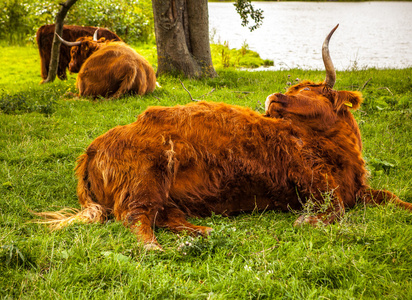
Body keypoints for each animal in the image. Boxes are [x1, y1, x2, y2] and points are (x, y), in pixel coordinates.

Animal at [36, 26, 412, 251]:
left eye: (305, 90)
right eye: (295, 88)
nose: (273, 96)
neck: (339, 151)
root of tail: (92, 148)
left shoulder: (358, 188)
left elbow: (392, 197)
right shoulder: (313, 181)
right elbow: (335, 208)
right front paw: (308, 220)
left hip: (162, 192)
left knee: (163, 216)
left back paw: (203, 232)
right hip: (148, 175)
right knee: (134, 216)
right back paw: (156, 247)